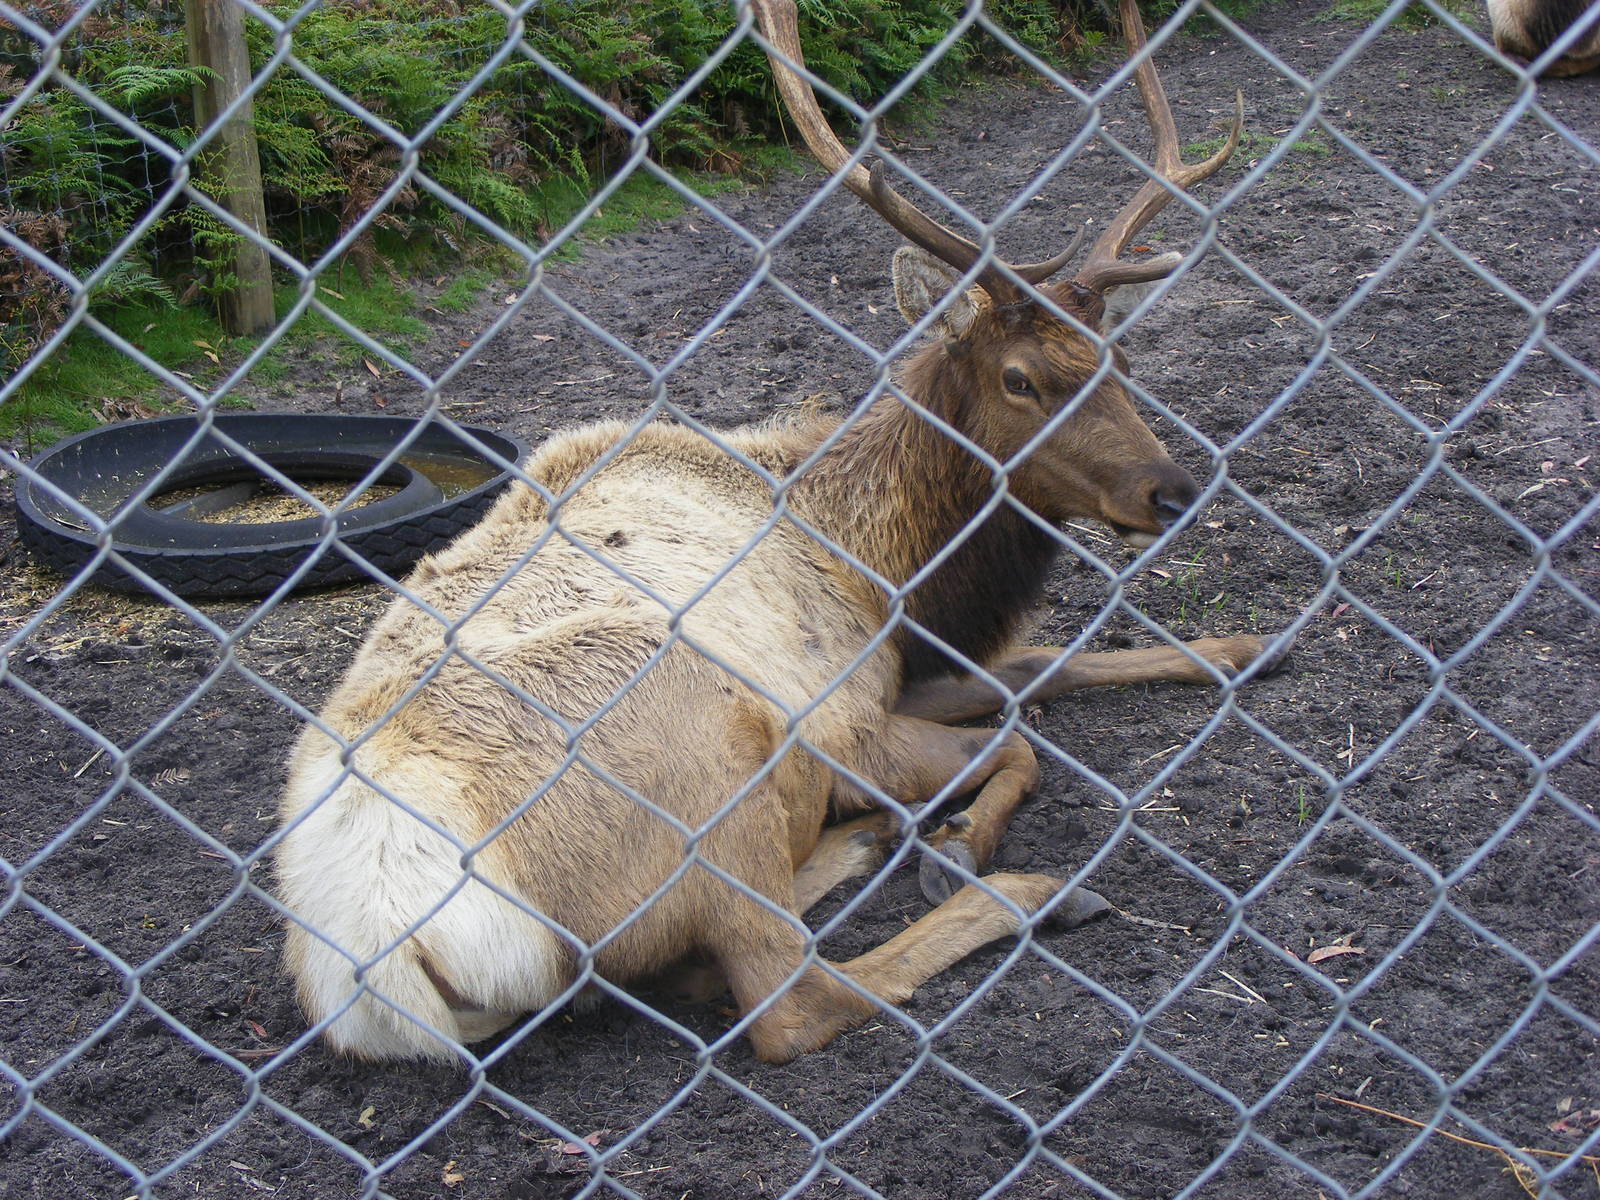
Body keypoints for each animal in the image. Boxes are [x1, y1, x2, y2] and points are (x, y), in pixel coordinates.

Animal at [274, 0, 1274, 1066]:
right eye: (1021, 379)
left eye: (1117, 357)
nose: (1174, 491)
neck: (880, 565)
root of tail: (378, 968)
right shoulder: (845, 720)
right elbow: (1018, 745)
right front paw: (959, 844)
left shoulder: (900, 664)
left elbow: (1041, 667)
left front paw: (1243, 648)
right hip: (710, 762)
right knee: (788, 998)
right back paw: (1023, 891)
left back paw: (867, 846)